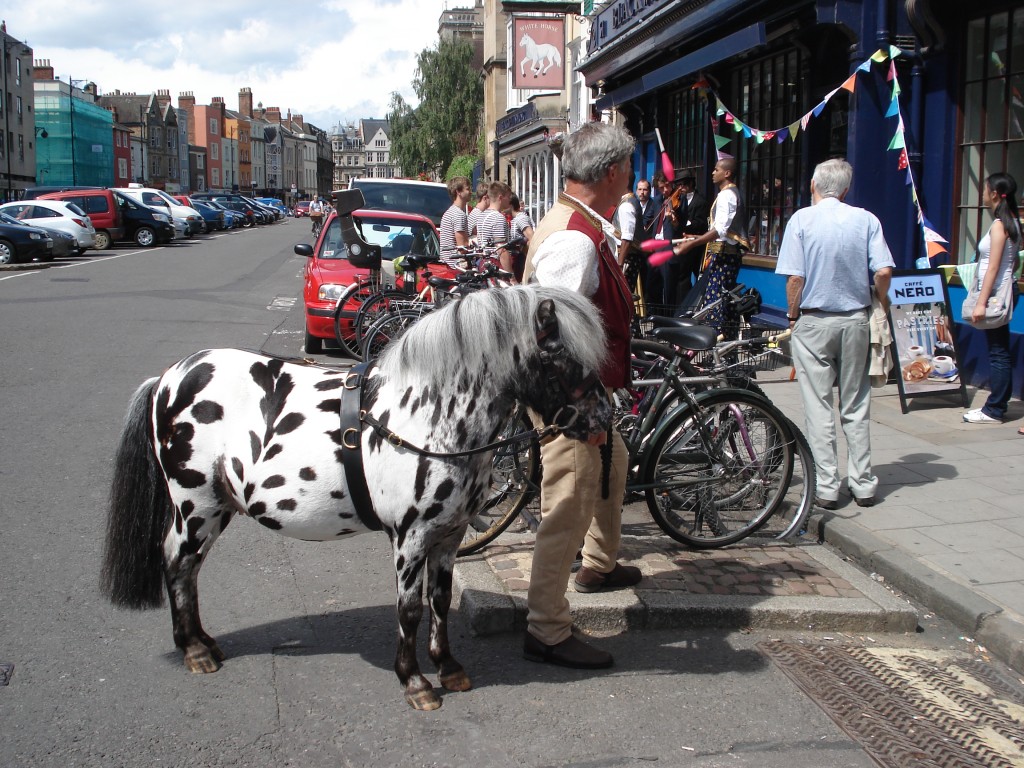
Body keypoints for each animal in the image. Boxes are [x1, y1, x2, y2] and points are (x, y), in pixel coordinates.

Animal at [99, 286, 610, 712]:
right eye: (561, 356)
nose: (604, 416)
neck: (426, 416)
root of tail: (168, 379)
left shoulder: (449, 536)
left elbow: (440, 600)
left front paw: (448, 668)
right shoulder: (410, 538)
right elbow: (409, 608)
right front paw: (415, 682)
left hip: (217, 507)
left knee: (190, 568)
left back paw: (203, 641)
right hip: (195, 506)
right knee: (176, 561)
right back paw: (194, 649)